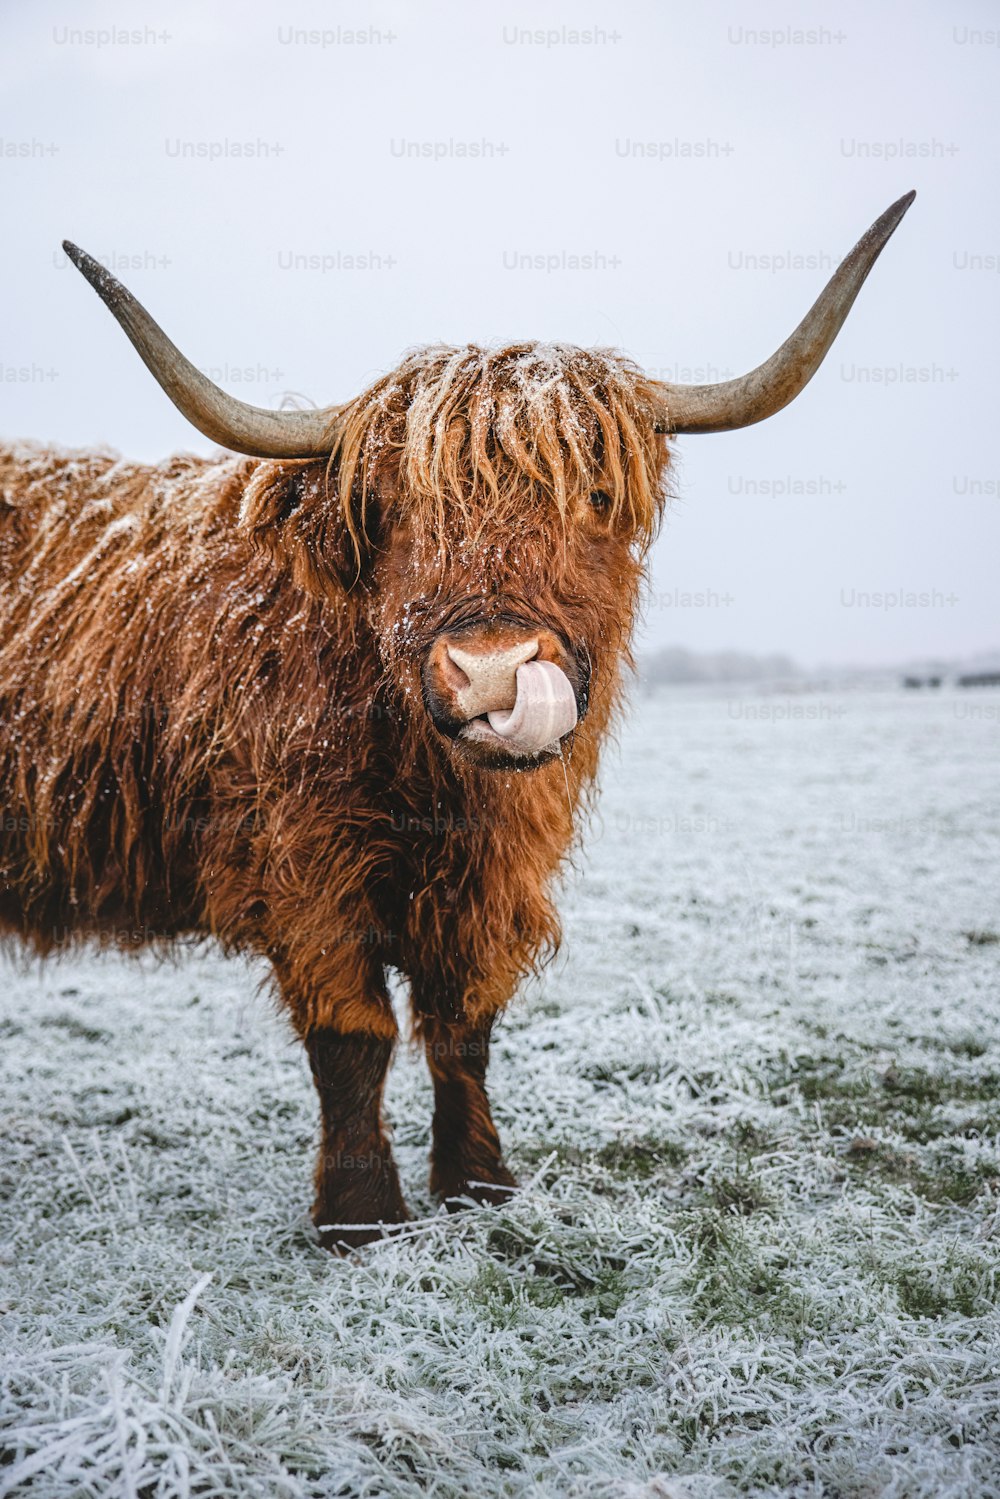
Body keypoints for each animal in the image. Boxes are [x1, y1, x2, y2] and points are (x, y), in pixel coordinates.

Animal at [0, 193, 917, 1247]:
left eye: (595, 494)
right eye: (392, 511)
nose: (492, 671)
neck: (430, 780)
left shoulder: (492, 877)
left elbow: (463, 1028)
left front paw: (480, 1185)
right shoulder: (301, 864)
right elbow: (353, 1038)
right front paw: (359, 1217)